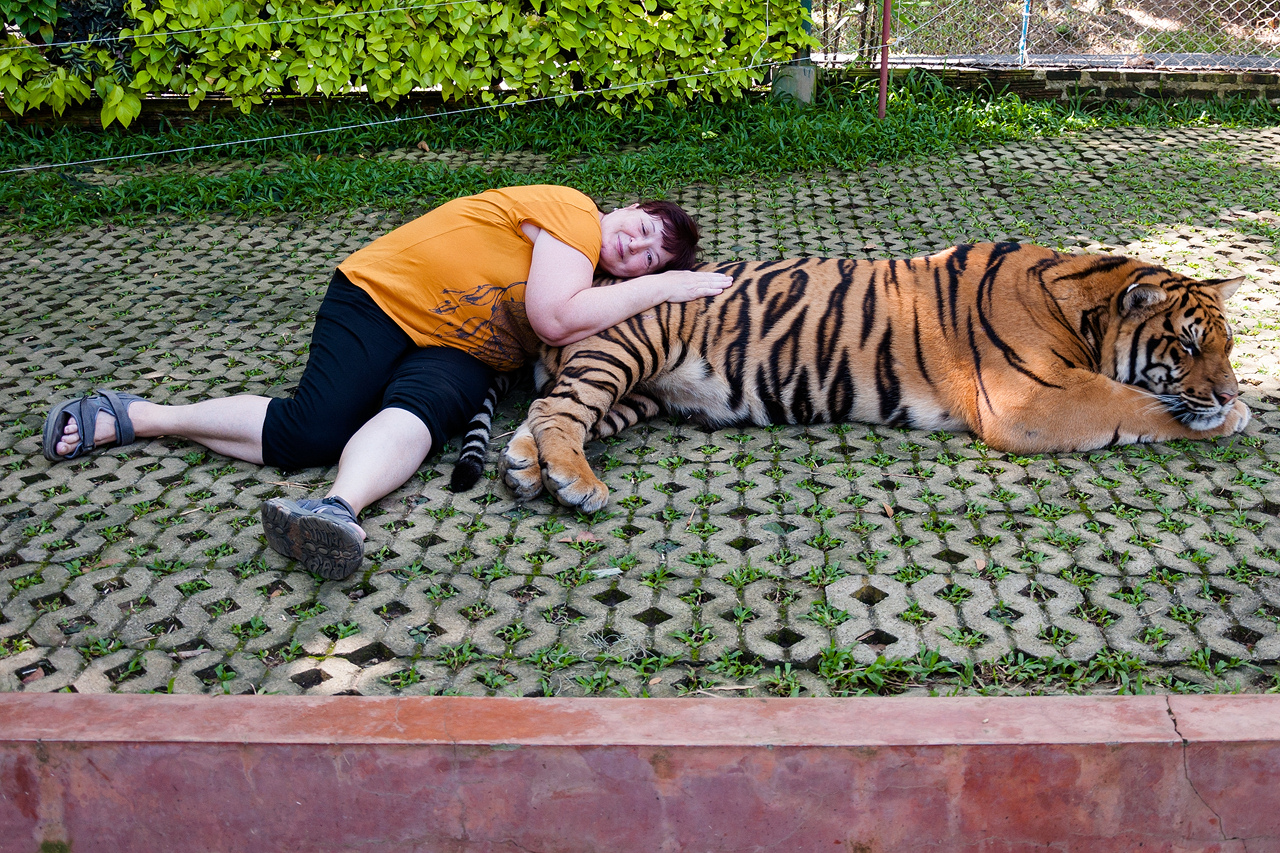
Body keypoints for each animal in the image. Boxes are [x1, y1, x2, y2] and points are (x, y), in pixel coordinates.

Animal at [495, 242, 1250, 513]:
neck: (1080, 307)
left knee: (544, 410)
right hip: (632, 345)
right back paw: (575, 483)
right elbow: (1137, 403)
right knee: (559, 409)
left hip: (638, 395)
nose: (1228, 390)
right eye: (1186, 345)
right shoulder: (1033, 399)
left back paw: (529, 471)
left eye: (1229, 344)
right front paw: (1230, 417)